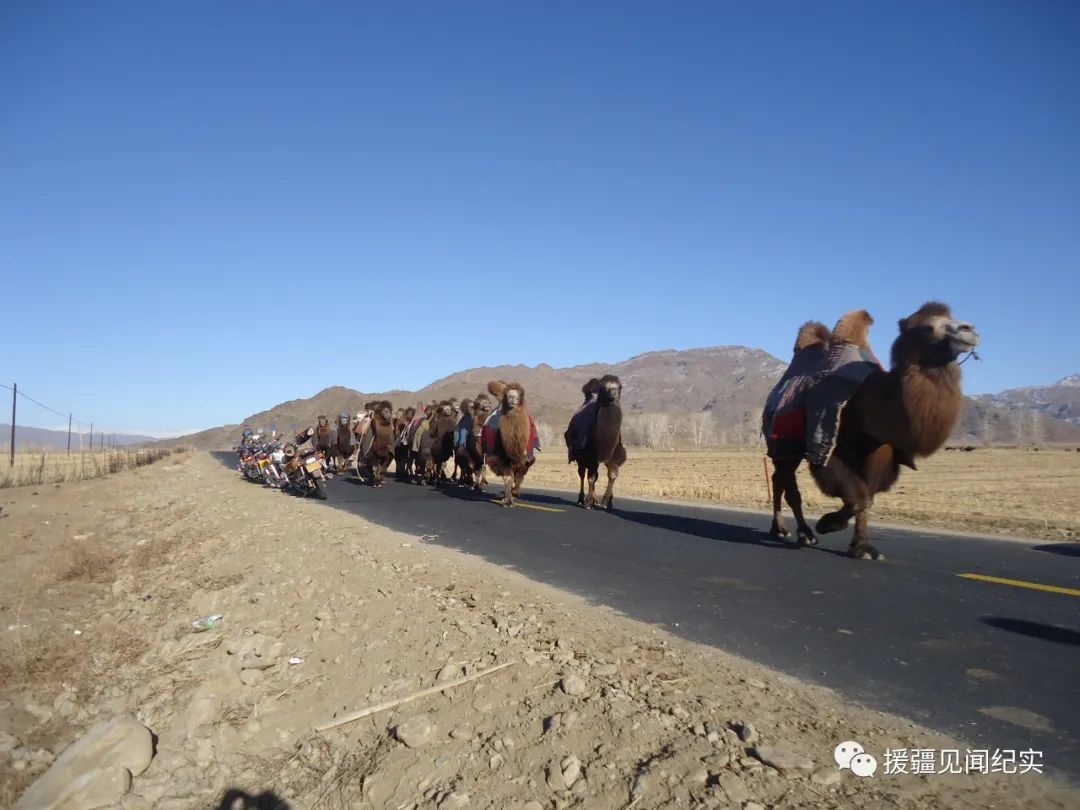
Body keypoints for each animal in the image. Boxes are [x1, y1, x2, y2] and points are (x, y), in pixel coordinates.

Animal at [565, 375, 626, 514]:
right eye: (603, 387)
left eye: (620, 386)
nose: (613, 390)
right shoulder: (590, 457)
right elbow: (591, 478)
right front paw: (589, 503)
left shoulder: (613, 455)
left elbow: (612, 474)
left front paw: (606, 502)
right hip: (581, 458)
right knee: (583, 474)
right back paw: (582, 499)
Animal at [760, 302, 980, 561]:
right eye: (927, 328)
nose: (968, 329)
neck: (871, 403)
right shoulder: (828, 449)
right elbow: (858, 498)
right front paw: (829, 525)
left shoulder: (881, 453)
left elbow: (867, 500)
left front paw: (860, 545)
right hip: (783, 445)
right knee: (789, 486)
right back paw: (803, 533)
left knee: (779, 480)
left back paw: (780, 529)